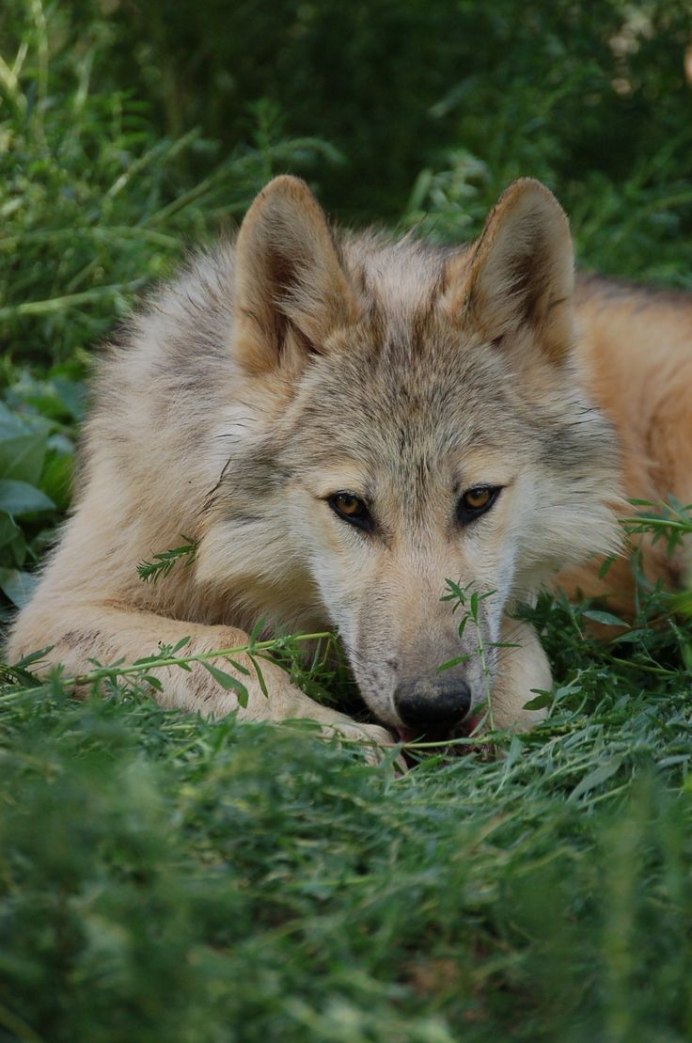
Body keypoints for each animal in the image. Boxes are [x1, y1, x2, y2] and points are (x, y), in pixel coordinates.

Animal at [6, 177, 692, 750]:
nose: (436, 706)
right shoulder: (53, 615)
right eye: (349, 506)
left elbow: (520, 664)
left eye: (477, 499)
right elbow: (220, 647)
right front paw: (328, 734)